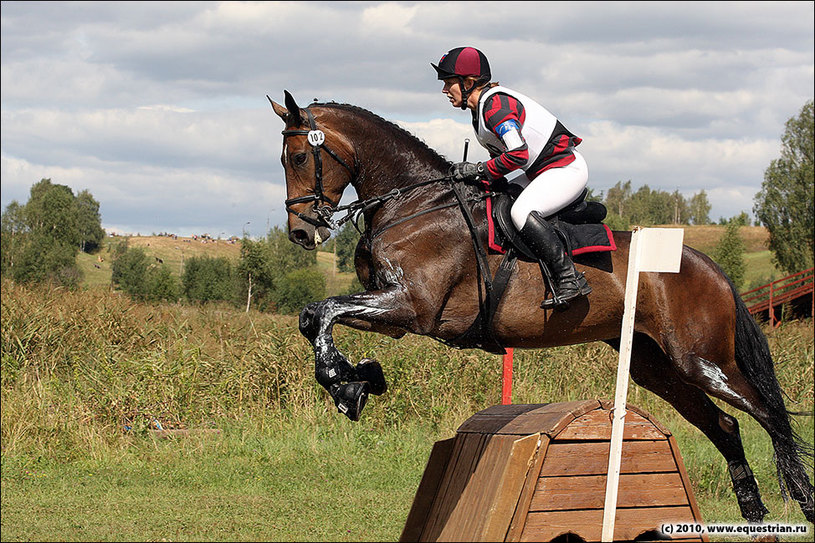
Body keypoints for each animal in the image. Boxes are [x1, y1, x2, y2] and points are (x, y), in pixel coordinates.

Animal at [266, 90, 808, 528]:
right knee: (726, 426)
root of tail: (709, 267)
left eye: (299, 156)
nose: (301, 232)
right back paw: (752, 511)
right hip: (658, 368)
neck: (414, 204)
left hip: (703, 359)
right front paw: (359, 379)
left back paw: (802, 500)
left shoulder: (412, 307)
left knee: (770, 414)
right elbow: (316, 316)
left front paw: (345, 385)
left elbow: (323, 312)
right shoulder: (397, 315)